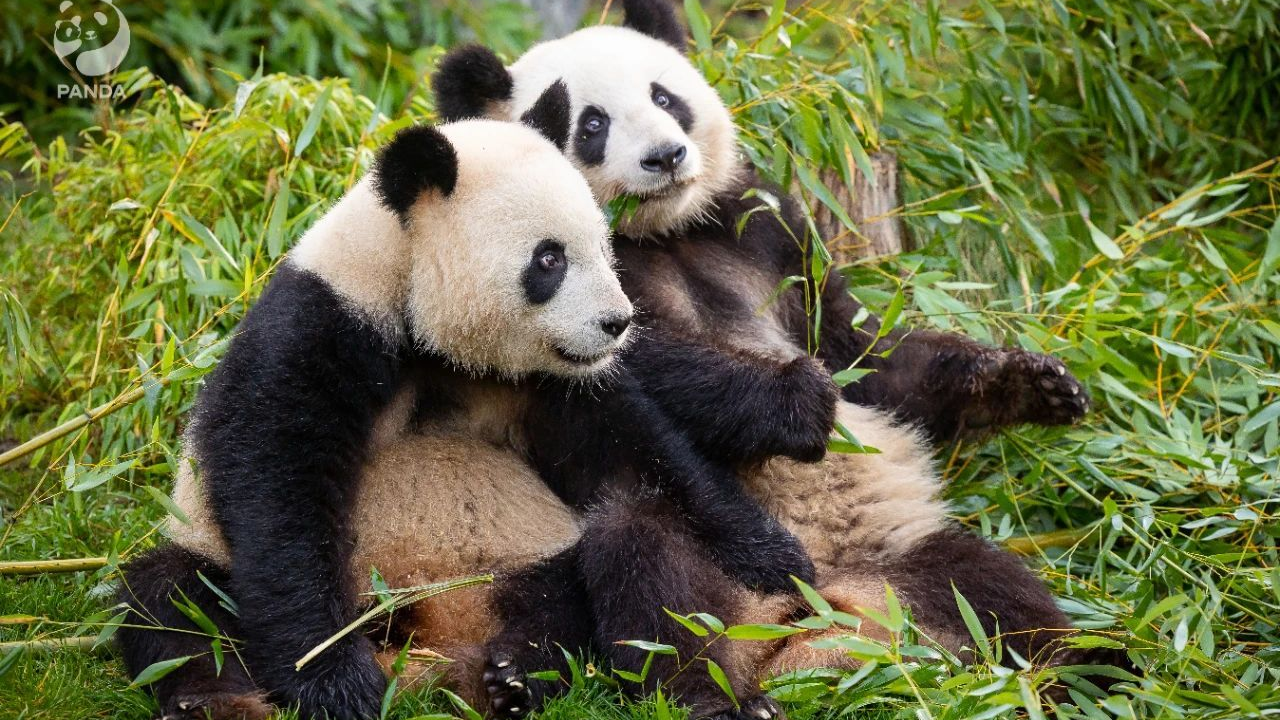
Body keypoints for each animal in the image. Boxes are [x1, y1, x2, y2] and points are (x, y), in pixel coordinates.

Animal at [116, 116, 824, 720]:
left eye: (605, 249)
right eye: (549, 259)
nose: (616, 323)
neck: (422, 319)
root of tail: (441, 647)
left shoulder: (548, 381)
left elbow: (634, 449)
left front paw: (774, 556)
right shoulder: (320, 329)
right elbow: (276, 489)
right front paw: (336, 681)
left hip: (531, 564)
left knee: (629, 550)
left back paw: (532, 675)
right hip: (220, 569)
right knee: (172, 602)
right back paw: (214, 701)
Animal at [429, 0, 1106, 715]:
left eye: (664, 96)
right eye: (592, 124)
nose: (666, 155)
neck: (663, 231)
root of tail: (813, 624)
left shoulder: (770, 232)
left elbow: (869, 356)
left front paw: (1036, 383)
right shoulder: (560, 293)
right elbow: (634, 363)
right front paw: (797, 403)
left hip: (906, 552)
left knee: (997, 593)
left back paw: (1084, 671)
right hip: (716, 565)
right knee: (650, 565)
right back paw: (711, 694)